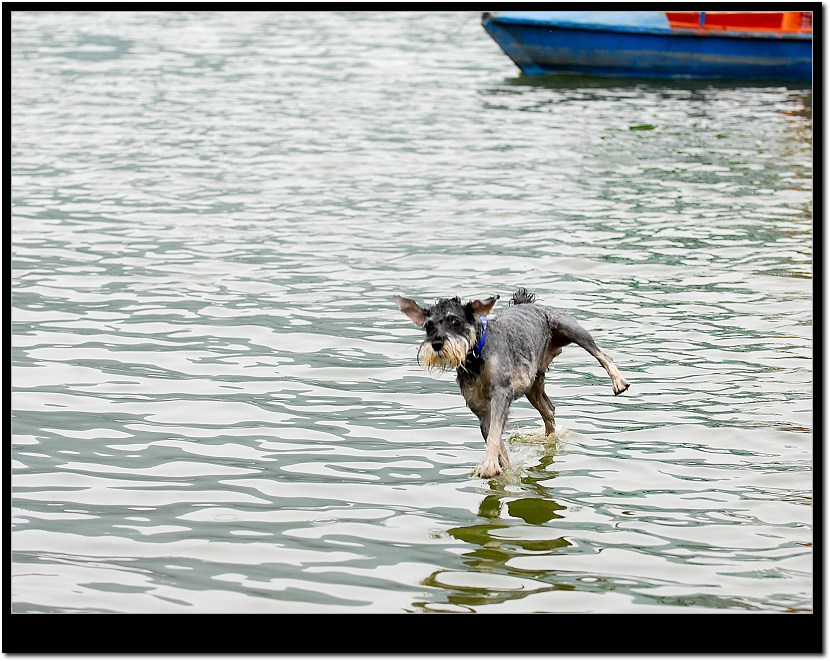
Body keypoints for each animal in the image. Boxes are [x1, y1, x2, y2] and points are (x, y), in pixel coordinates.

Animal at [396, 288, 632, 474]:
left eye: (455, 321)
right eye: (429, 326)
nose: (436, 343)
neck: (476, 357)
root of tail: (527, 303)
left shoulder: (500, 394)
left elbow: (494, 435)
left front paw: (490, 466)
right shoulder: (480, 409)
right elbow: (496, 440)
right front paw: (503, 468)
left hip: (569, 327)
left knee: (602, 355)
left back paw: (618, 381)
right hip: (533, 388)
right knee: (549, 411)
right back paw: (547, 439)